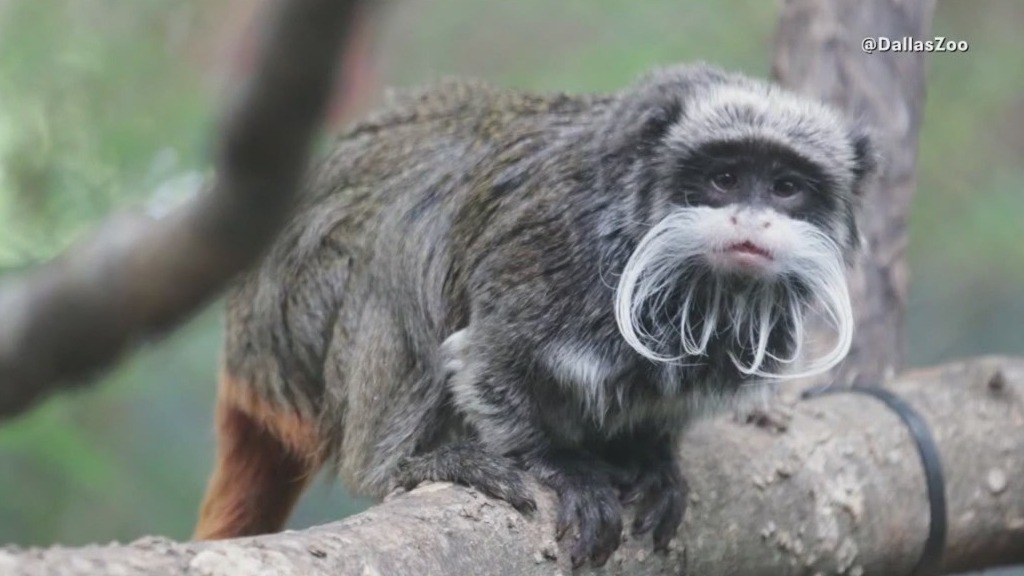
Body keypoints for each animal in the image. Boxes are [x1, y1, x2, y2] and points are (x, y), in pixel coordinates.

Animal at [193, 62, 875, 568]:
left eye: (787, 188)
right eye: (724, 178)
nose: (752, 220)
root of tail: (242, 350)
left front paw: (653, 457)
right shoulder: (553, 252)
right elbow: (487, 362)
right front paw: (561, 467)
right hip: (294, 324)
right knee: (405, 240)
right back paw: (403, 462)